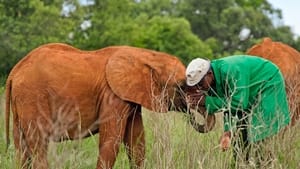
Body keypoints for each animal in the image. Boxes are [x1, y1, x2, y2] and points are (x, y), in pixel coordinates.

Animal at [4, 44, 216, 169]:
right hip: (33, 96)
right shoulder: (112, 96)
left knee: (22, 148)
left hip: (22, 101)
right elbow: (110, 143)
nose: (191, 110)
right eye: (183, 86)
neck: (145, 55)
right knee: (38, 144)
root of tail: (14, 72)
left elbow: (136, 143)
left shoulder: (131, 98)